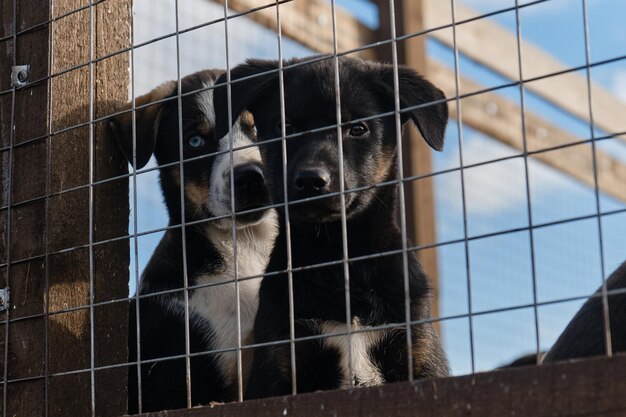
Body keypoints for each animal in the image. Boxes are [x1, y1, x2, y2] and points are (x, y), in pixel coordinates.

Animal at [214, 57, 448, 398]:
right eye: (286, 127)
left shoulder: (419, 354)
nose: (311, 180)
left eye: (358, 129)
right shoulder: (279, 363)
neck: (336, 254)